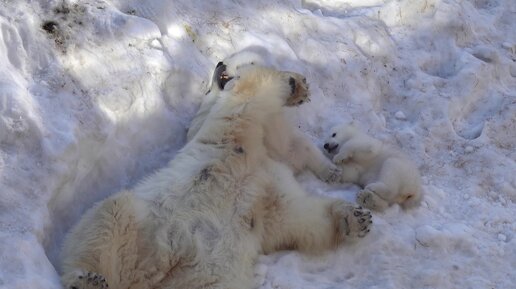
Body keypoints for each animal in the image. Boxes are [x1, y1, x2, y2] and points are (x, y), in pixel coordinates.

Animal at [60, 63, 370, 288]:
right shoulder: (234, 139)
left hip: (208, 275)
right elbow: (249, 94)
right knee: (106, 221)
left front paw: (358, 218)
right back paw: (86, 279)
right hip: (140, 225)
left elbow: (300, 218)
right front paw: (293, 82)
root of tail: (146, 275)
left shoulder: (269, 190)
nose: (220, 62)